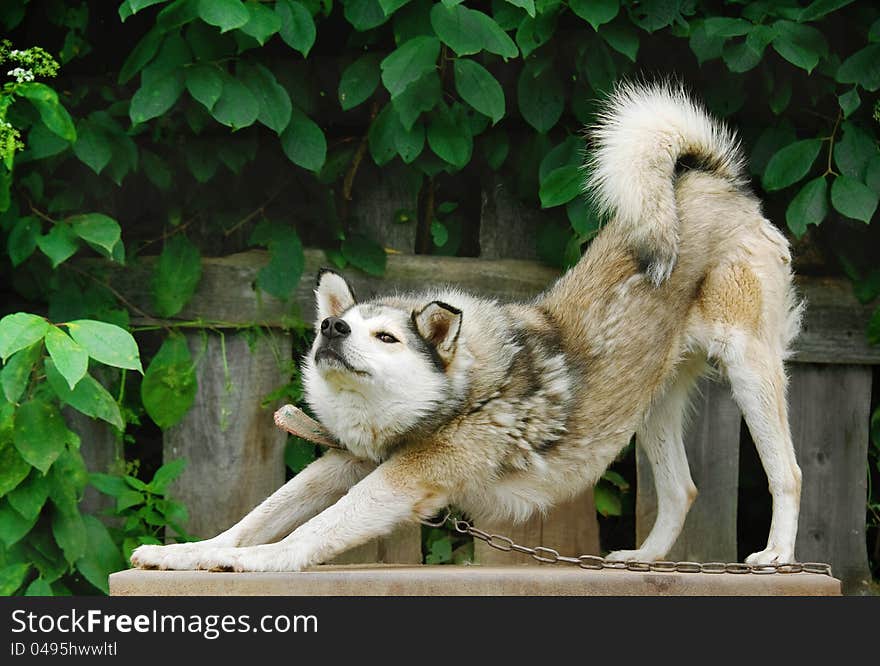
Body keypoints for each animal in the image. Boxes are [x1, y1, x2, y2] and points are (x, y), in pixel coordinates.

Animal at [132, 83, 804, 572]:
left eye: (386, 338)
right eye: (333, 322)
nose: (332, 332)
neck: (459, 394)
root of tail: (709, 180)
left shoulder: (398, 481)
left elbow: (308, 531)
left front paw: (247, 563)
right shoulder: (344, 463)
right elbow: (258, 516)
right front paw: (185, 553)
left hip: (748, 369)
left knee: (788, 474)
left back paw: (775, 555)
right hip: (652, 403)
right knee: (682, 490)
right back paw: (643, 558)